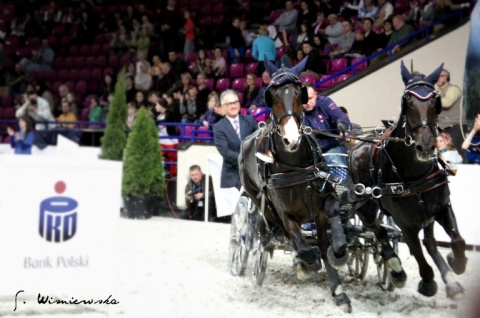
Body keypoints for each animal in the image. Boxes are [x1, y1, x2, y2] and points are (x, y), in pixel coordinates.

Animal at [238, 57, 350, 314]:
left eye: (300, 93)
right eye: (271, 95)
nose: (292, 139)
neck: (296, 165)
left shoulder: (322, 204)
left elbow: (327, 236)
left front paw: (339, 278)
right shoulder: (286, 215)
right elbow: (305, 246)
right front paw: (306, 263)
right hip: (261, 203)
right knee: (279, 234)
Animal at [344, 60, 466, 300]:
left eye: (435, 100)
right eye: (406, 101)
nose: (425, 146)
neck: (414, 175)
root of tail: (356, 146)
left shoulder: (442, 207)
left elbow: (457, 241)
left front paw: (455, 264)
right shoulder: (405, 223)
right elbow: (418, 255)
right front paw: (427, 283)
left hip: (424, 213)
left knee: (429, 241)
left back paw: (449, 278)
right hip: (365, 207)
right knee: (377, 231)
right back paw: (395, 268)